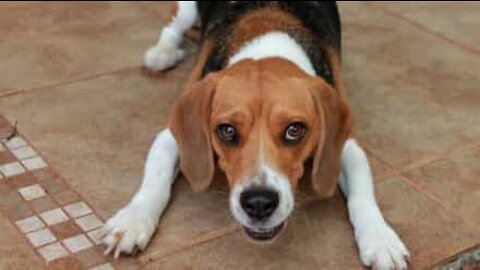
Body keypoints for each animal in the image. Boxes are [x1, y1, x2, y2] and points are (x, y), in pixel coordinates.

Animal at [104, 2, 408, 270]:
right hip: (186, 10)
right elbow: (155, 181)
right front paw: (132, 221)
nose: (259, 203)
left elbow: (363, 194)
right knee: (171, 27)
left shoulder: (346, 146)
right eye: (227, 130)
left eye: (295, 130)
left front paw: (380, 239)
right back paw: (162, 53)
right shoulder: (170, 137)